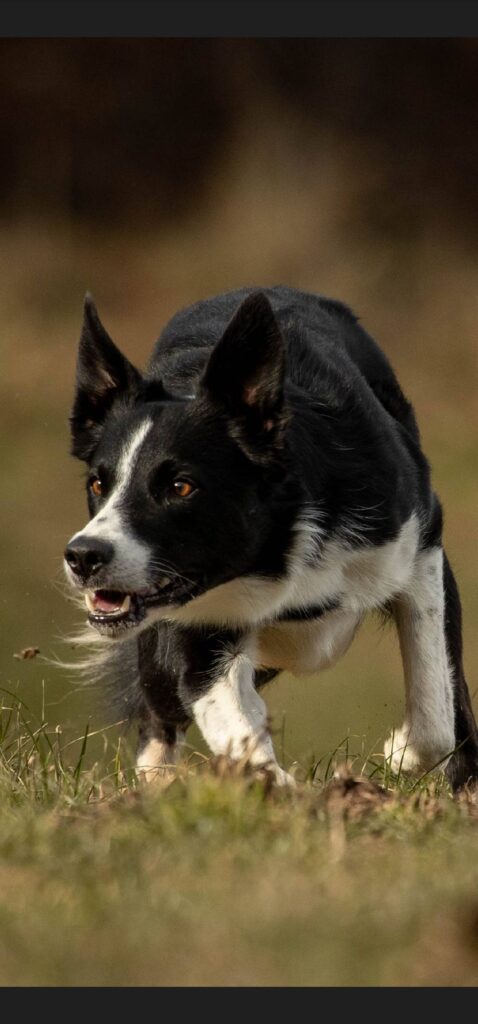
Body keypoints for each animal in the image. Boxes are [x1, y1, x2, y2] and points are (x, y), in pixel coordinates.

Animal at [64, 286, 478, 791]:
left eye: (181, 486)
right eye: (97, 484)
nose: (83, 556)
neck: (281, 546)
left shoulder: (420, 548)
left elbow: (437, 707)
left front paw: (403, 754)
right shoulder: (197, 626)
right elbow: (231, 723)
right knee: (159, 714)